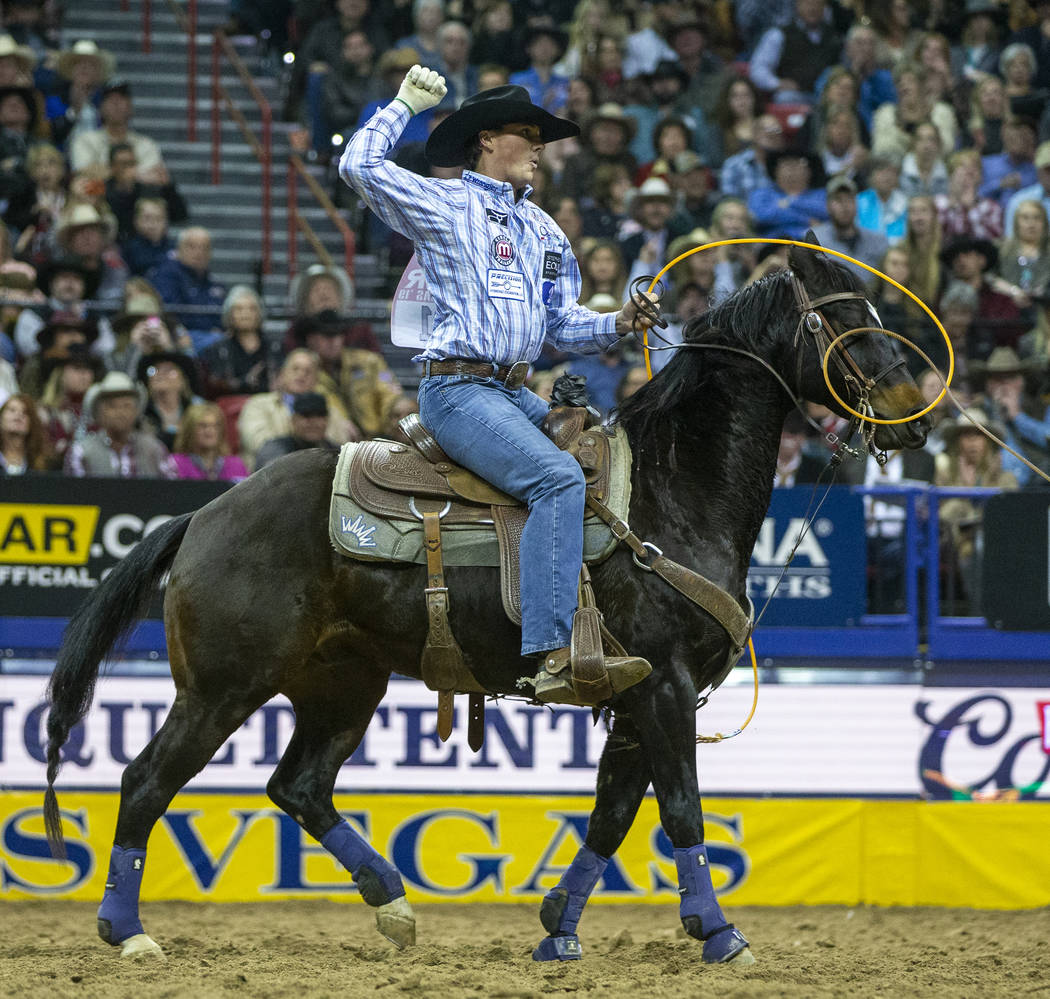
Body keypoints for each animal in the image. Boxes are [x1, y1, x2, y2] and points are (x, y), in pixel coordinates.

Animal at [43, 238, 928, 966]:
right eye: (845, 317)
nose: (915, 417)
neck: (671, 489)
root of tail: (204, 514)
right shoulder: (665, 684)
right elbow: (681, 810)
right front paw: (717, 931)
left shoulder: (633, 692)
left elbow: (612, 814)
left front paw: (558, 927)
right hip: (222, 687)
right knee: (145, 780)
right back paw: (128, 930)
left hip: (342, 683)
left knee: (298, 784)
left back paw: (393, 904)